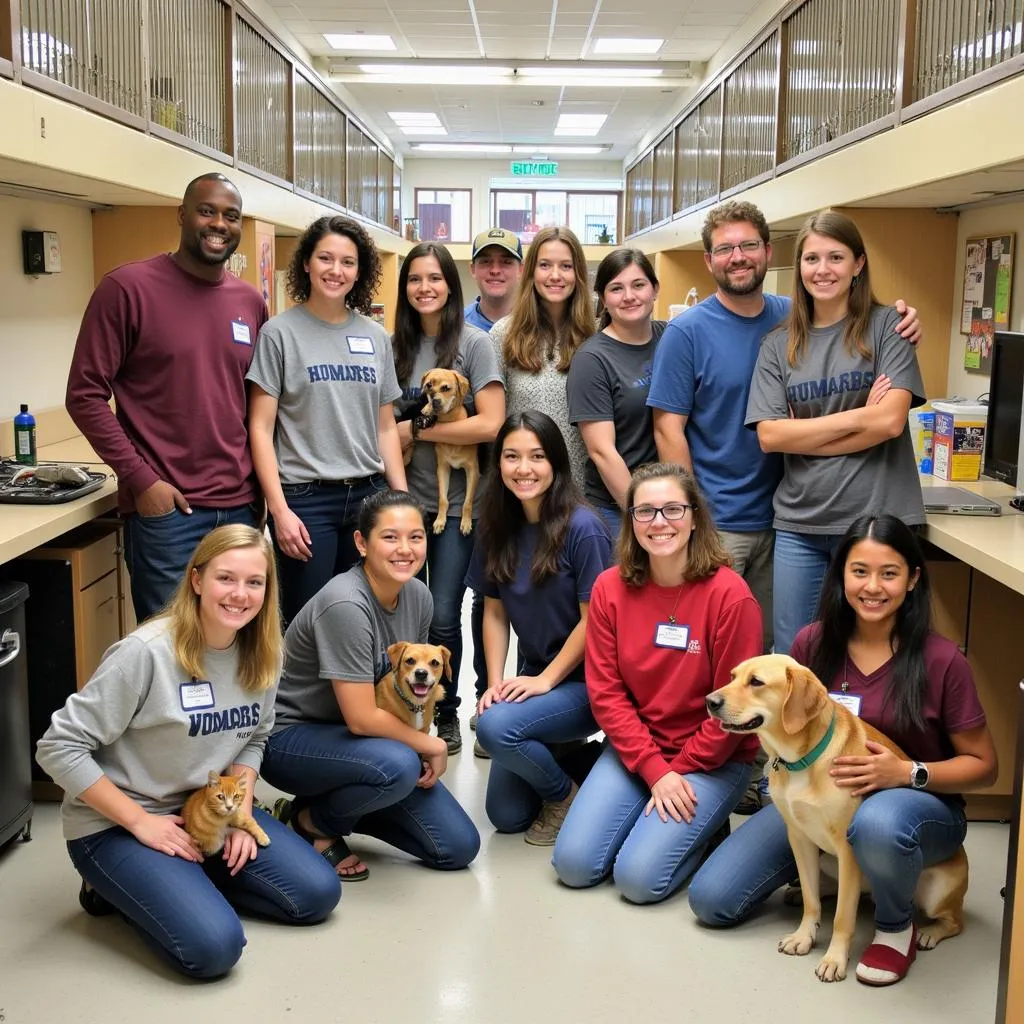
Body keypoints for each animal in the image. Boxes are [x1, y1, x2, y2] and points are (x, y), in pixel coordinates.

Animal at [403, 368, 479, 536]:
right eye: (428, 385)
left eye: (446, 388)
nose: (435, 402)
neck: (450, 421)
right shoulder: (443, 469)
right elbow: (443, 499)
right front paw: (439, 521)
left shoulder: (472, 470)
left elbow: (467, 502)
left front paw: (466, 522)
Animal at [708, 655, 962, 983]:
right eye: (732, 676)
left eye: (756, 682)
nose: (710, 701)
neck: (800, 760)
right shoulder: (799, 838)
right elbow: (811, 899)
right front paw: (804, 936)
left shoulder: (846, 848)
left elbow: (843, 916)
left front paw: (834, 959)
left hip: (936, 891)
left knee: (954, 921)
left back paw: (929, 933)